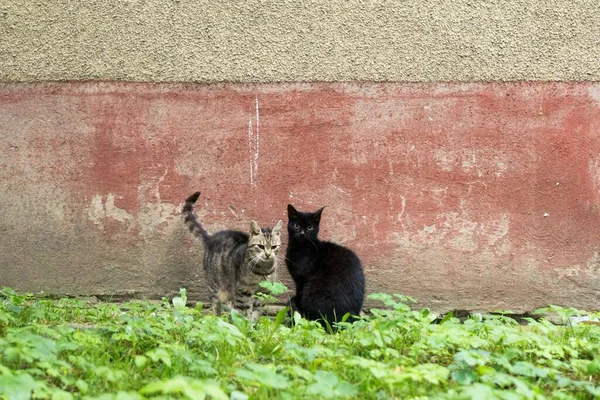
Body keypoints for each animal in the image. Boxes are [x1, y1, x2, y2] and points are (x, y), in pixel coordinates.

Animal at [184, 192, 282, 320]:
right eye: (260, 246)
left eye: (274, 247)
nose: (268, 254)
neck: (263, 270)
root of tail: (210, 238)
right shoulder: (243, 293)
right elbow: (243, 314)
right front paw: (244, 324)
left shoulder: (262, 294)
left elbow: (255, 314)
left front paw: (254, 324)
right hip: (215, 287)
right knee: (216, 306)